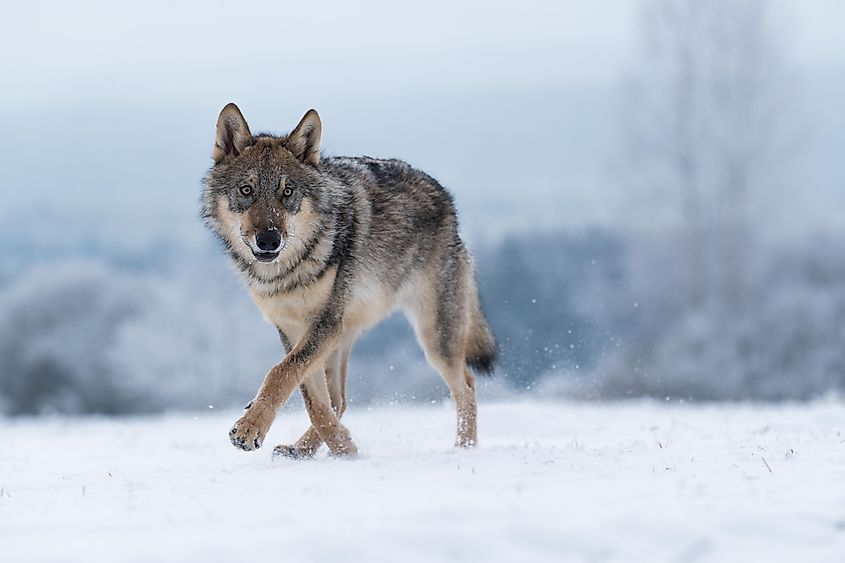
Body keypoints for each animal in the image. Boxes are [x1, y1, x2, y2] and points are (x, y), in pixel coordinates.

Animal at [202, 103, 497, 457]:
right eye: (247, 190)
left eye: (288, 192)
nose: (269, 241)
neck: (288, 272)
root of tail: (447, 199)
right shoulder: (293, 328)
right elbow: (310, 396)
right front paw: (343, 446)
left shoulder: (324, 324)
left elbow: (281, 373)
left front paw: (249, 428)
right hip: (346, 335)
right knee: (339, 400)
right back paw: (305, 449)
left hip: (434, 337)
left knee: (466, 386)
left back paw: (464, 449)